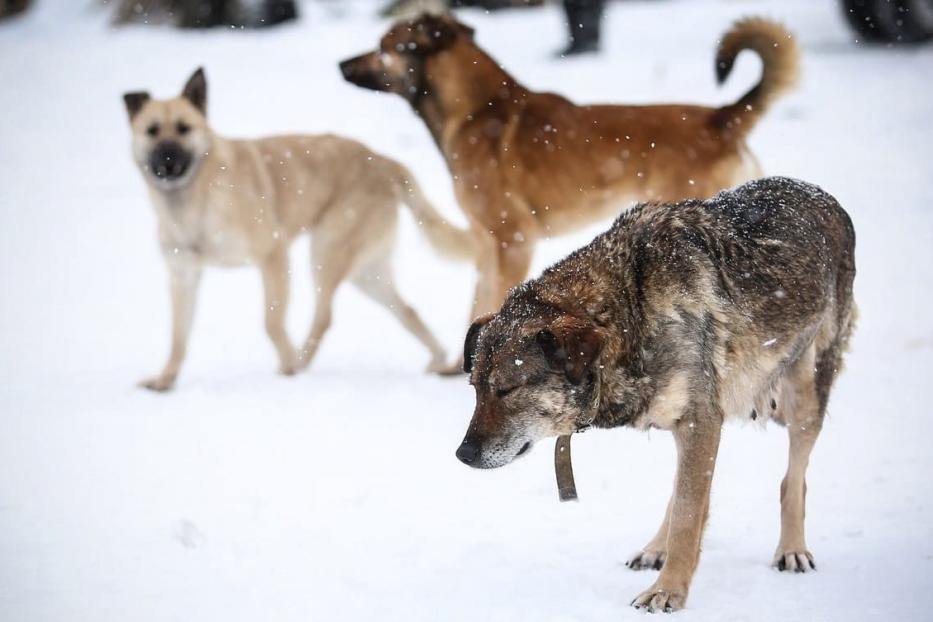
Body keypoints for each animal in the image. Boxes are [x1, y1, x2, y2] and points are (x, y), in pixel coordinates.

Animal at [124, 68, 474, 390]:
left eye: (184, 129)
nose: (167, 159)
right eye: (152, 131)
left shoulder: (273, 254)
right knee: (408, 311)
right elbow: (178, 337)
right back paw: (438, 359)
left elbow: (271, 321)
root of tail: (384, 161)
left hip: (325, 252)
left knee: (325, 317)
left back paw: (302, 363)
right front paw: (165, 380)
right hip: (367, 273)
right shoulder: (183, 276)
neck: (193, 201)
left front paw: (288, 365)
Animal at [338, 13, 796, 336]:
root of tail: (723, 120)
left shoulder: (512, 240)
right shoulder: (486, 243)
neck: (477, 112)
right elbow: (477, 303)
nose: (341, 64)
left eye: (383, 47)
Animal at [456, 179, 856, 616]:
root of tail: (824, 196)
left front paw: (669, 592)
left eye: (507, 389)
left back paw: (792, 550)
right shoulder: (694, 424)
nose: (463, 454)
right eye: (475, 389)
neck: (632, 310)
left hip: (805, 396)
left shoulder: (701, 420)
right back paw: (654, 549)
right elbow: (686, 504)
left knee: (792, 480)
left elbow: (688, 515)